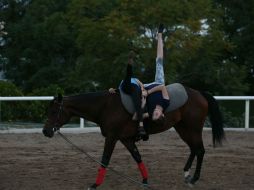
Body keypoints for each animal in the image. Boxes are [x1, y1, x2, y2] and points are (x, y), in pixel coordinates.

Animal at [42, 85, 224, 189]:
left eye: (54, 111)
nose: (45, 131)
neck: (106, 106)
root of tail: (198, 93)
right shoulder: (126, 139)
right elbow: (138, 158)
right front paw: (145, 181)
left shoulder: (112, 137)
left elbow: (105, 159)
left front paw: (95, 185)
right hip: (183, 128)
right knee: (194, 149)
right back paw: (186, 174)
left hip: (193, 128)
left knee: (200, 150)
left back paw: (193, 178)